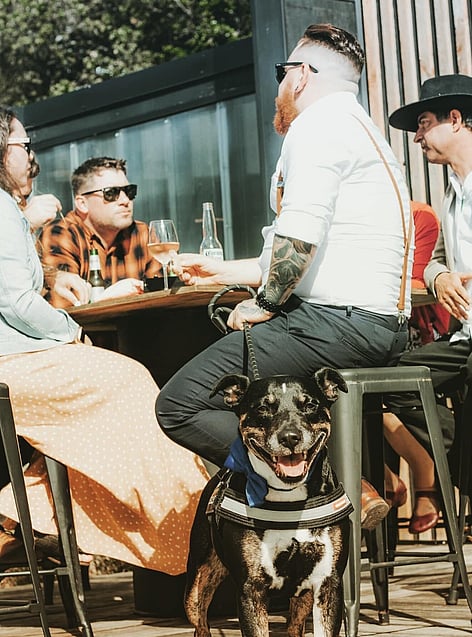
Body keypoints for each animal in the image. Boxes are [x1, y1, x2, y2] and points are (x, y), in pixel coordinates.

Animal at [185, 367, 351, 637]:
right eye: (263, 408)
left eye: (310, 404)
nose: (290, 437)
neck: (288, 496)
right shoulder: (251, 589)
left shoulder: (328, 583)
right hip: (197, 584)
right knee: (200, 621)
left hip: (303, 597)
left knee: (294, 626)